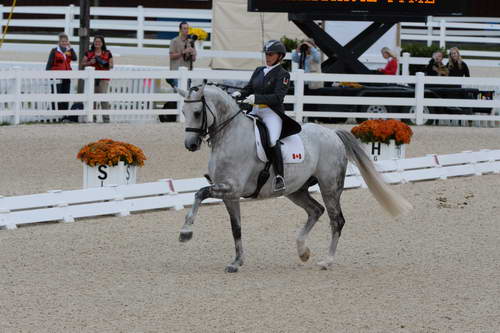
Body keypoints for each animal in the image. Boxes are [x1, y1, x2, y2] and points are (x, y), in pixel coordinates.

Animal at [178, 83, 412, 272]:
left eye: (197, 112)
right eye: (183, 111)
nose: (190, 145)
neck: (230, 136)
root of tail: (333, 134)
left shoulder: (231, 187)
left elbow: (199, 193)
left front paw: (186, 232)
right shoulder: (230, 194)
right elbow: (236, 228)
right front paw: (236, 262)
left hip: (330, 187)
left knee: (336, 220)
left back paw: (327, 261)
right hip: (296, 190)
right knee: (315, 210)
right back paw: (303, 251)